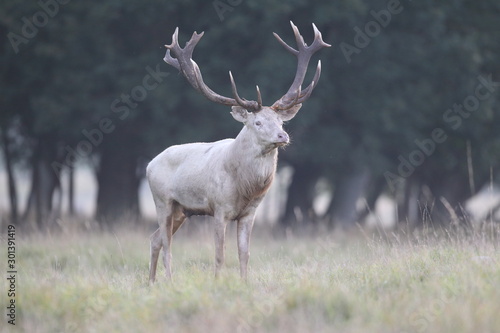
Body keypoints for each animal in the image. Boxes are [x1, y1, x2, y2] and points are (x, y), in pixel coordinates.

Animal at [146, 20, 330, 282]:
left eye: (280, 122)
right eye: (258, 122)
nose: (282, 136)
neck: (244, 187)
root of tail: (149, 164)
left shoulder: (250, 213)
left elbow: (245, 254)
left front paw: (244, 283)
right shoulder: (219, 207)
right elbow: (220, 255)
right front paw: (218, 282)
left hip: (183, 210)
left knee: (155, 240)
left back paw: (151, 283)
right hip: (162, 200)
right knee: (166, 246)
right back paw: (168, 281)